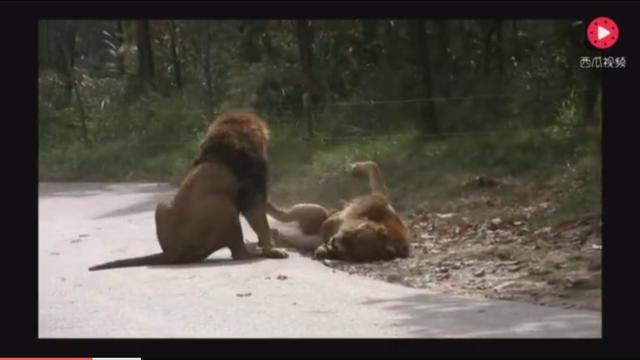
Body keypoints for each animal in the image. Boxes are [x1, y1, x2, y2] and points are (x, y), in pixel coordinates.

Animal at [89, 111, 288, 272]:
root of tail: (172, 252)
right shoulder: (253, 180)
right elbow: (259, 218)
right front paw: (271, 250)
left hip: (161, 204)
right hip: (222, 207)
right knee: (238, 253)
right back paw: (253, 251)